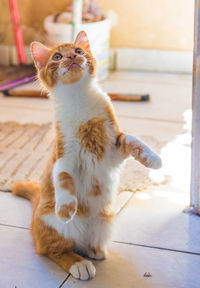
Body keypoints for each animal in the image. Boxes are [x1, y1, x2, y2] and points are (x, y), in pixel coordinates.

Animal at [11, 32, 162, 282]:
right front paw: (66, 206)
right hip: (55, 227)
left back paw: (94, 251)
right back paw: (79, 264)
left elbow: (133, 140)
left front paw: (153, 158)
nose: (72, 56)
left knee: (84, 245)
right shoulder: (65, 154)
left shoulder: (115, 146)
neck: (79, 100)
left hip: (105, 223)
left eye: (79, 51)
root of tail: (34, 223)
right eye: (57, 56)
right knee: (54, 250)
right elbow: (63, 178)